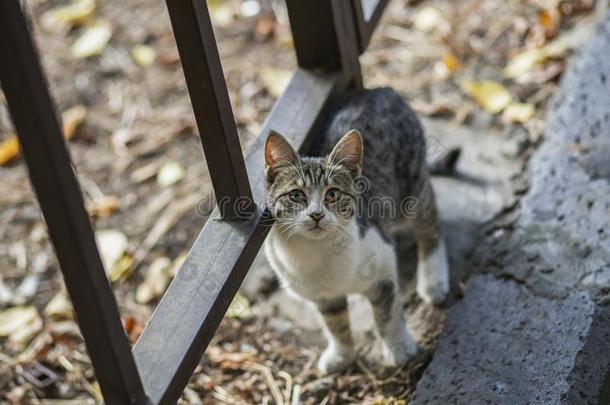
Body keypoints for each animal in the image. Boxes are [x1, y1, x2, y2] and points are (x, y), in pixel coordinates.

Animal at [262, 87, 446, 372]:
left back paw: (434, 279)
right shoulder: (324, 298)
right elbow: (334, 324)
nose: (316, 214)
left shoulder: (383, 269)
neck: (316, 253)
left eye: (333, 194)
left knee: (430, 224)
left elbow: (387, 316)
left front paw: (398, 347)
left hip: (412, 182)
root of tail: (381, 90)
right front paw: (342, 355)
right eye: (296, 195)